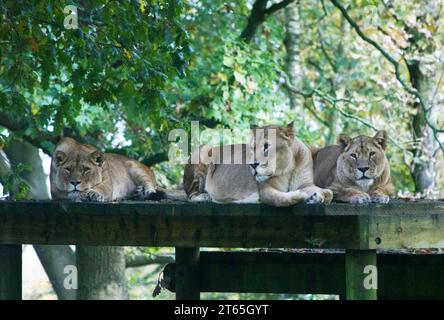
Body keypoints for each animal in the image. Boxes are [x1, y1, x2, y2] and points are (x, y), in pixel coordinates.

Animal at [183, 122, 332, 208]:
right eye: (253, 148)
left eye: (266, 146)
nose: (252, 165)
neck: (290, 168)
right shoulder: (266, 190)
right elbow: (283, 199)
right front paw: (307, 196)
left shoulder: (306, 184)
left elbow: (329, 194)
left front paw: (318, 195)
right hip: (204, 149)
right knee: (190, 195)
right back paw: (205, 197)